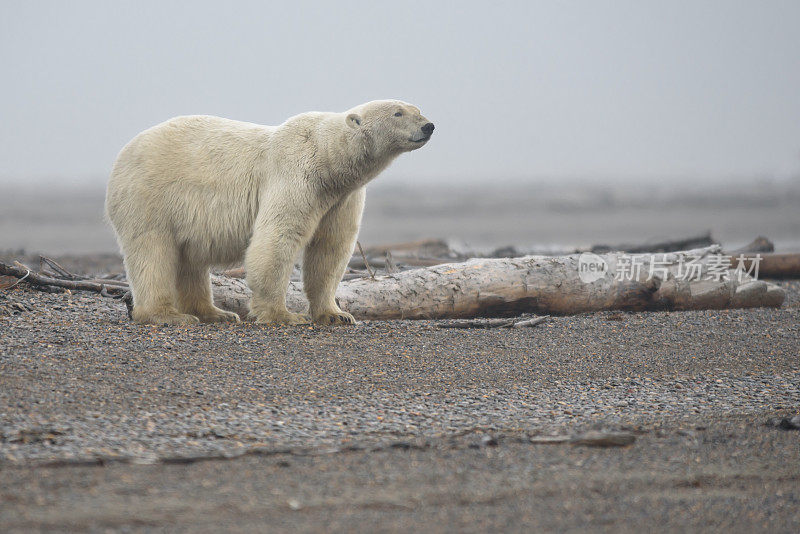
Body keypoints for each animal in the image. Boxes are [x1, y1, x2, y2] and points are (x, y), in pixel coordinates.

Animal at [106, 100, 434, 326]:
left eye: (417, 109)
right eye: (398, 113)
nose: (429, 126)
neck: (328, 159)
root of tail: (122, 155)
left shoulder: (342, 198)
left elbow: (330, 248)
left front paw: (337, 315)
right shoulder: (295, 174)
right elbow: (278, 236)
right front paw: (283, 315)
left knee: (190, 261)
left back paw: (216, 313)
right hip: (150, 197)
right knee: (152, 252)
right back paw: (167, 315)